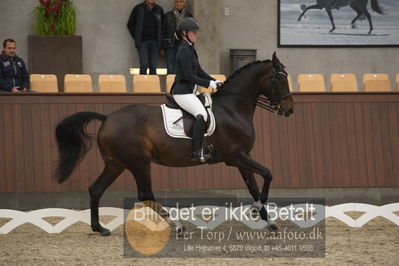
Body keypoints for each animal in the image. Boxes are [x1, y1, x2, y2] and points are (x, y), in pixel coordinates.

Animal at [54, 52, 296, 235]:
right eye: (281, 79)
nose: (290, 110)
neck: (232, 108)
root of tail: (107, 118)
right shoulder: (235, 156)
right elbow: (267, 174)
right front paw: (258, 210)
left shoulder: (242, 157)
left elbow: (253, 185)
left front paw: (267, 218)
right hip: (139, 163)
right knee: (145, 194)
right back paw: (177, 226)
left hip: (116, 163)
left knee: (96, 189)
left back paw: (99, 228)